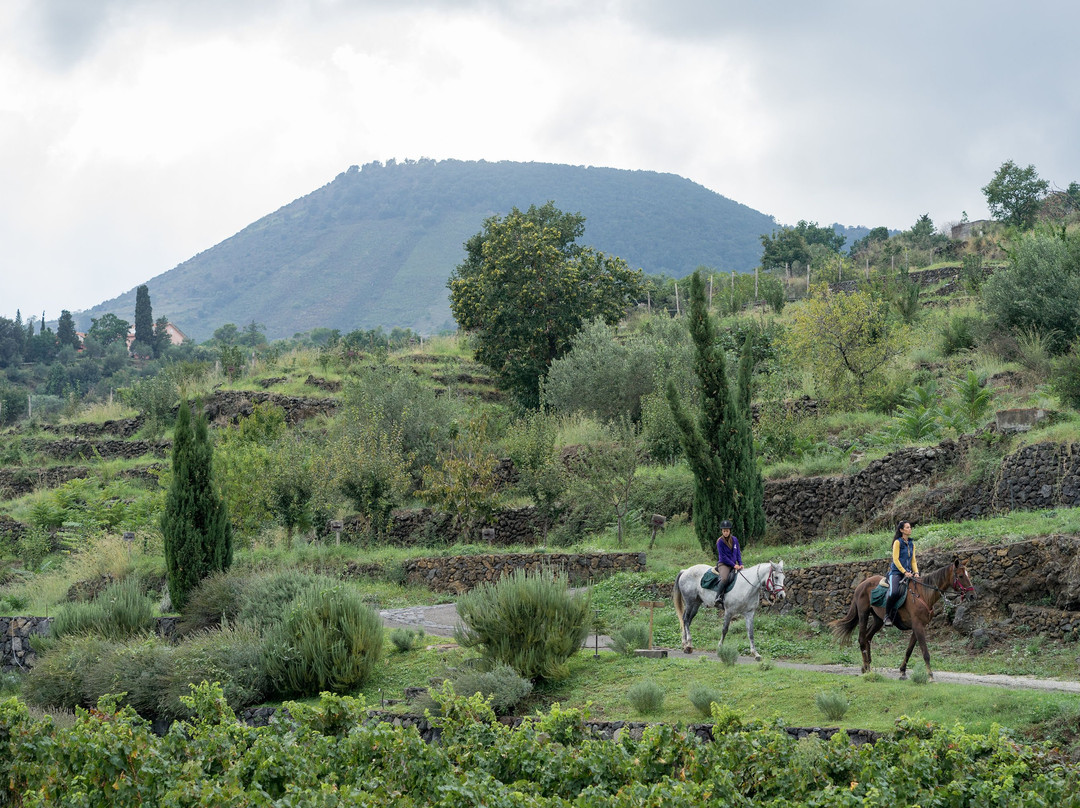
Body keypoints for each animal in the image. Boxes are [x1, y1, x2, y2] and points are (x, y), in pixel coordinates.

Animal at [829, 557, 976, 682]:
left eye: (968, 575)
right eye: (961, 576)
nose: (973, 596)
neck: (922, 594)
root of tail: (861, 585)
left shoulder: (918, 627)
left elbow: (909, 650)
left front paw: (902, 672)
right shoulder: (918, 626)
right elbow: (925, 652)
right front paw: (930, 675)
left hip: (878, 620)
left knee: (867, 638)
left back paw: (867, 665)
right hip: (863, 614)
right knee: (861, 639)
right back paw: (866, 667)